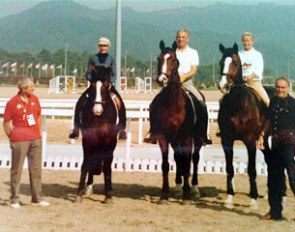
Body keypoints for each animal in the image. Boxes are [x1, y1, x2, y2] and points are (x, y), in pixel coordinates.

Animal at [74, 66, 119, 204]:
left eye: (106, 85)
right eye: (92, 86)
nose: (97, 110)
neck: (100, 118)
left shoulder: (109, 143)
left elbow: (107, 167)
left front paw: (108, 195)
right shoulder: (88, 141)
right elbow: (85, 165)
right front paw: (79, 193)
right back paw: (88, 188)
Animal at [150, 40, 204, 204]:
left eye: (173, 59)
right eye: (159, 58)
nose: (162, 80)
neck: (172, 104)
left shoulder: (186, 137)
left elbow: (187, 163)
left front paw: (186, 196)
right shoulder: (164, 137)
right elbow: (166, 165)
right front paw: (164, 195)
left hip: (196, 139)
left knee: (194, 159)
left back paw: (194, 190)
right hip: (175, 139)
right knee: (178, 158)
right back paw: (179, 188)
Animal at [219, 43, 272, 208]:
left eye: (236, 63)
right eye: (221, 62)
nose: (223, 86)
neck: (238, 104)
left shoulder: (250, 141)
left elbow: (252, 170)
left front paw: (253, 200)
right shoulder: (227, 141)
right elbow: (229, 168)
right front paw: (229, 197)